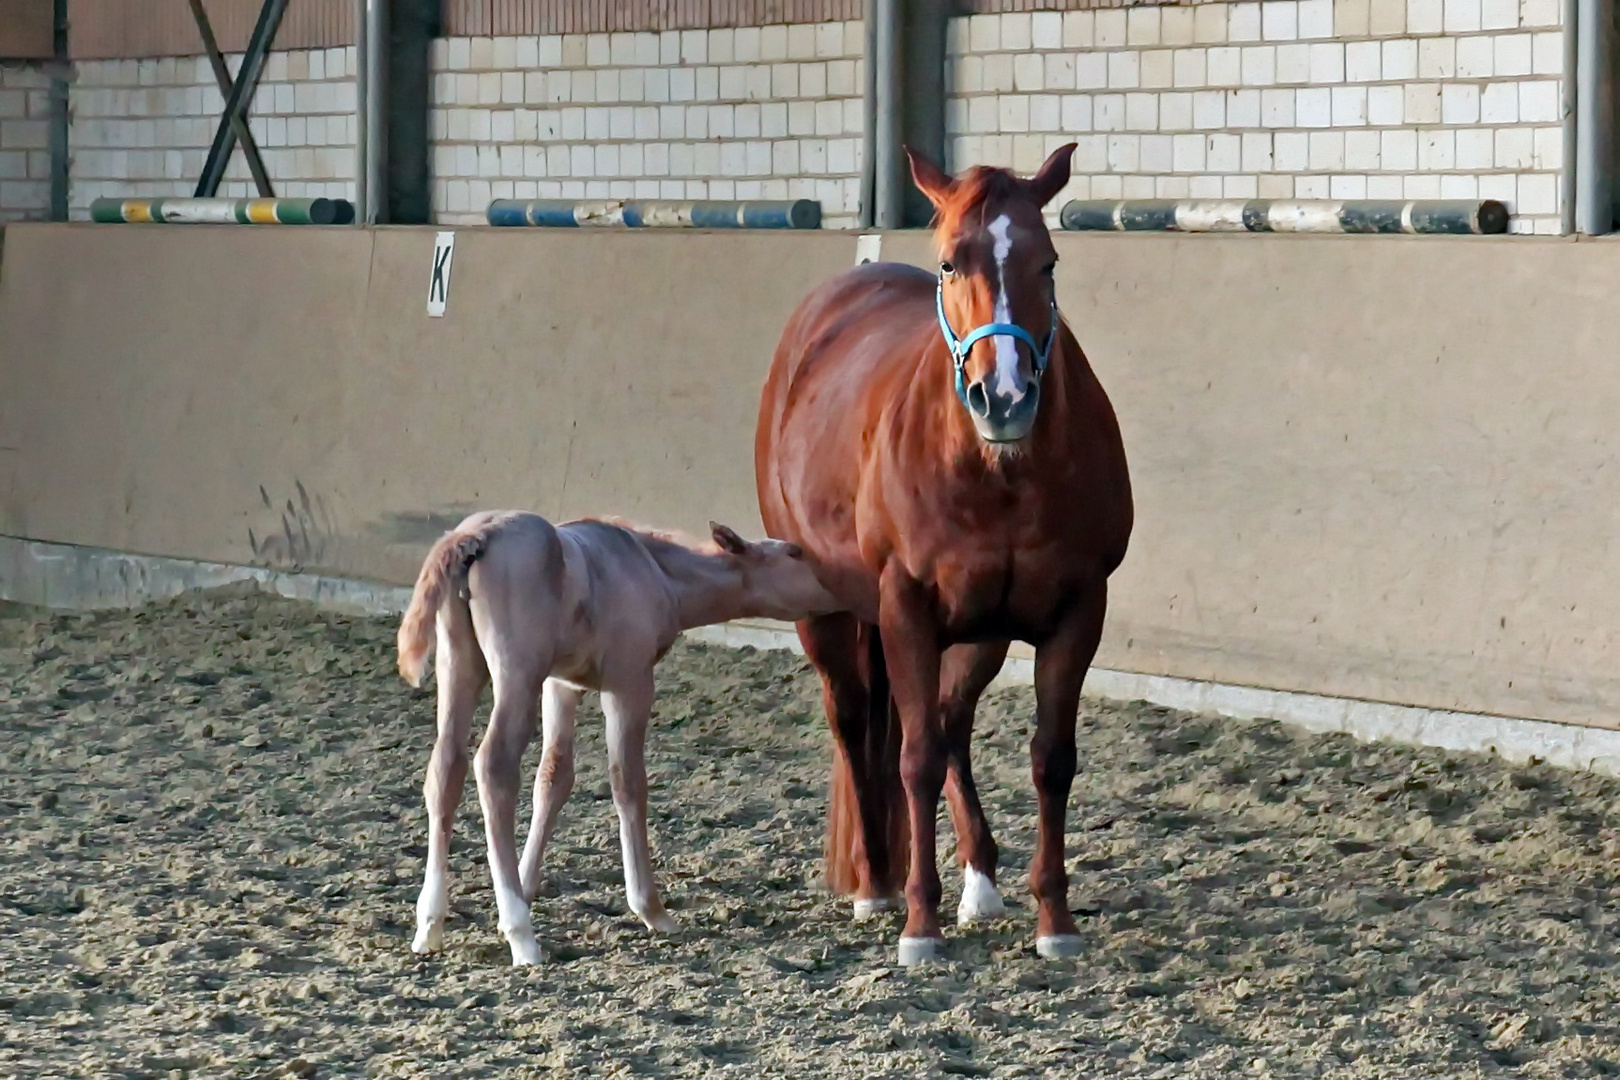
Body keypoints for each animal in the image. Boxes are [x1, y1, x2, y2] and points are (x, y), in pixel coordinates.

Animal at [392, 511, 835, 965]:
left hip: (459, 666)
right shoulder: (629, 683)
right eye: (795, 552)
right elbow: (628, 783)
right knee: (493, 766)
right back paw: (520, 934)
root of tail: (477, 534)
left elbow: (553, 778)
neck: (652, 568)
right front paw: (651, 909)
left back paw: (430, 924)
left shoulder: (560, 685)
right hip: (516, 675)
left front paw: (526, 885)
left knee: (446, 769)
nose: (839, 592)